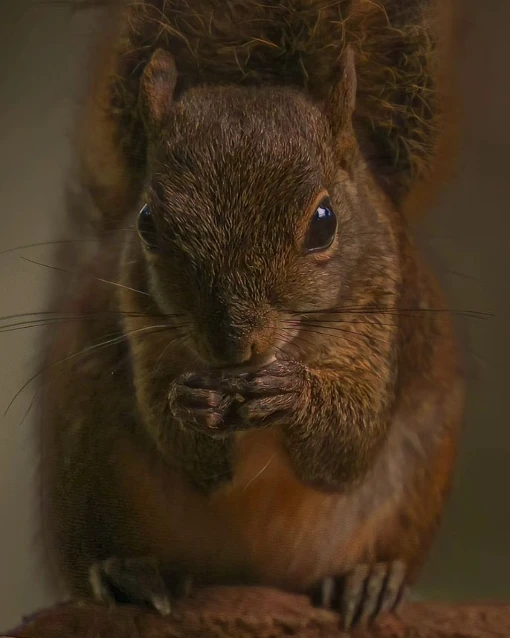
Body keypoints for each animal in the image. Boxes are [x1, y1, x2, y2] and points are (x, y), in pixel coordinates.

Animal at [39, 0, 462, 632]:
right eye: (147, 222)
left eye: (324, 222)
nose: (233, 344)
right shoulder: (141, 323)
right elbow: (190, 455)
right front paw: (191, 404)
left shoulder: (381, 310)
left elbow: (348, 447)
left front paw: (296, 394)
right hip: (82, 464)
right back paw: (129, 574)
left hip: (419, 480)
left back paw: (372, 580)